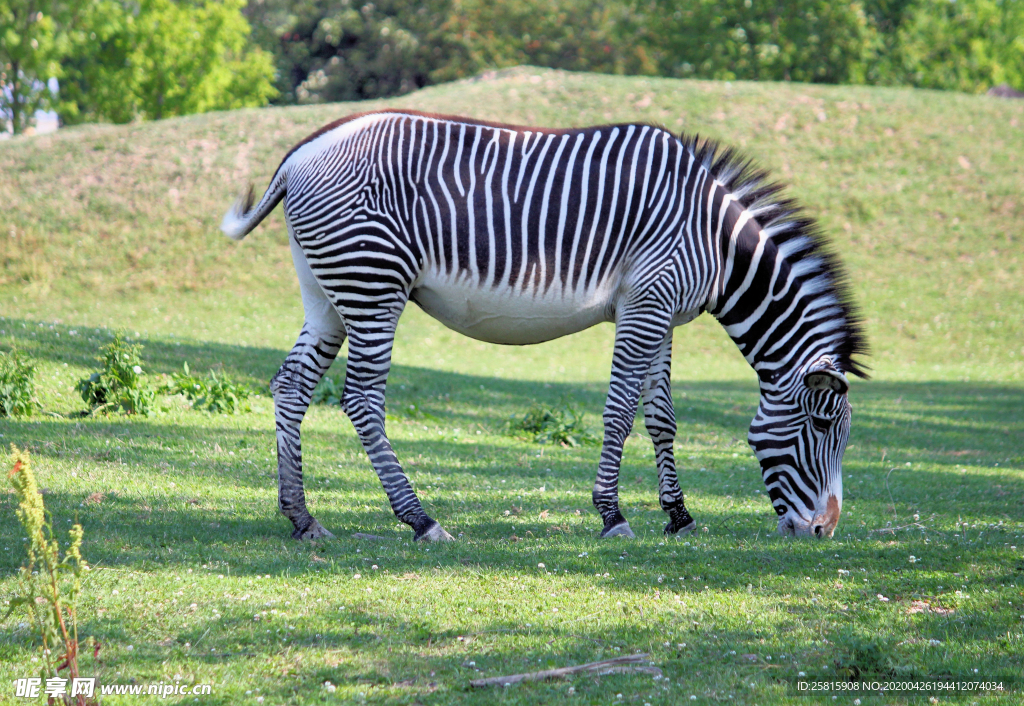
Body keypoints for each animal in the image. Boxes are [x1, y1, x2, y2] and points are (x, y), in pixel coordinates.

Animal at [222, 108, 864, 541]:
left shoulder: (663, 313)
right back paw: (421, 519)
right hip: (372, 283)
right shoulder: (646, 303)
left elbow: (661, 419)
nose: (825, 531)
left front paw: (679, 517)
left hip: (327, 292)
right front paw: (612, 514)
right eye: (821, 425)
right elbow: (620, 410)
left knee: (291, 386)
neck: (717, 242)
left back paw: (302, 517)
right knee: (360, 398)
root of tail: (299, 155)